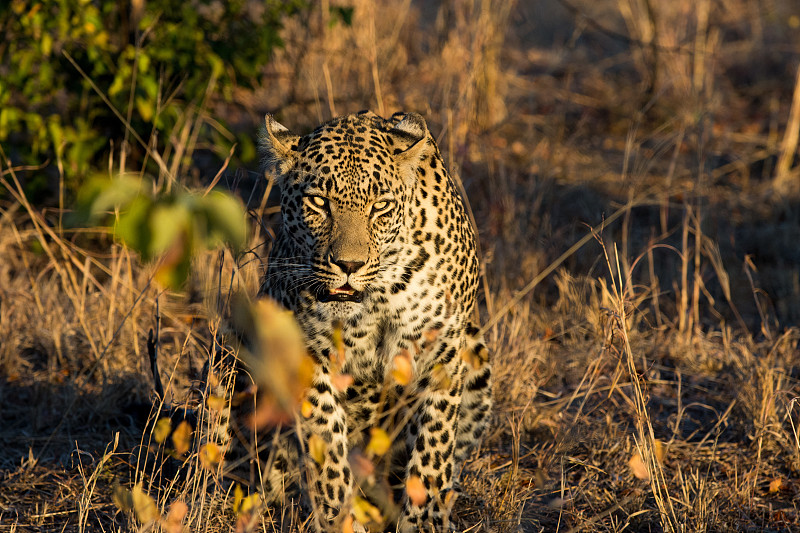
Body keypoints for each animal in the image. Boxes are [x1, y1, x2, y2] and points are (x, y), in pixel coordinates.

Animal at [256, 109, 494, 532]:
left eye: (380, 206)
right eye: (318, 202)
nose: (348, 265)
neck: (379, 295)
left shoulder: (442, 355)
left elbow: (432, 452)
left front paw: (425, 520)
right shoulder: (308, 354)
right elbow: (326, 447)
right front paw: (338, 516)